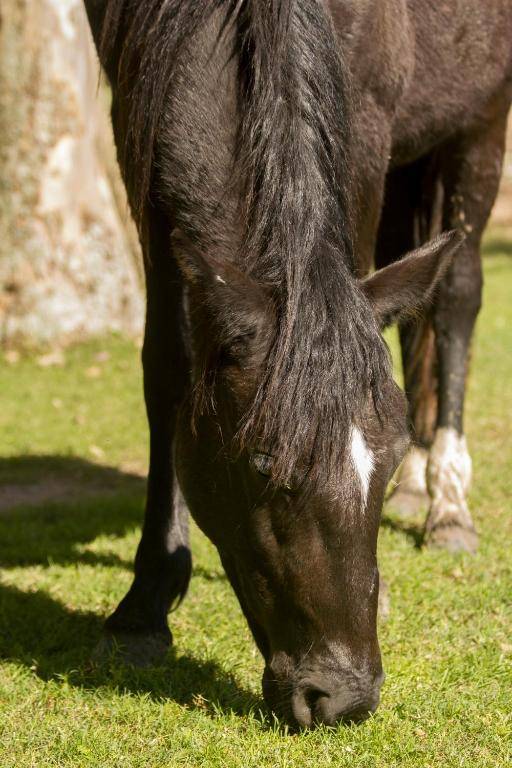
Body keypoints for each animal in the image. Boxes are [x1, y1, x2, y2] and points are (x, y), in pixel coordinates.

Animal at [82, 0, 510, 728]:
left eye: (383, 459)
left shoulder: (367, 122)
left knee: (456, 298)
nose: (343, 696)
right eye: (262, 466)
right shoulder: (138, 127)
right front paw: (144, 605)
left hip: (481, 121)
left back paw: (448, 506)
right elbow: (167, 365)